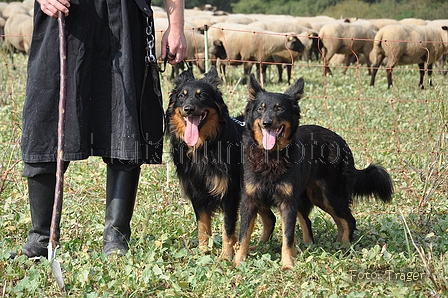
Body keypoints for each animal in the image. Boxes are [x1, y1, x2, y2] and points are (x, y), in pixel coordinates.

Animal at [165, 66, 245, 260]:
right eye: (182, 96)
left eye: (202, 96)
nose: (188, 109)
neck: (204, 146)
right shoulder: (197, 193)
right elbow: (202, 227)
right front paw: (203, 253)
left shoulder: (230, 193)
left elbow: (227, 228)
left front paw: (226, 256)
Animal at [233, 74, 394, 270]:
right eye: (260, 109)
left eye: (279, 109)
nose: (267, 123)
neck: (271, 156)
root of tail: (342, 142)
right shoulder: (250, 199)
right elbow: (243, 234)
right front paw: (238, 261)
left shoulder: (288, 202)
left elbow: (287, 236)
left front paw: (287, 264)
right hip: (314, 196)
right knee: (321, 221)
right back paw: (318, 245)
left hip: (331, 195)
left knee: (348, 220)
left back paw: (344, 246)